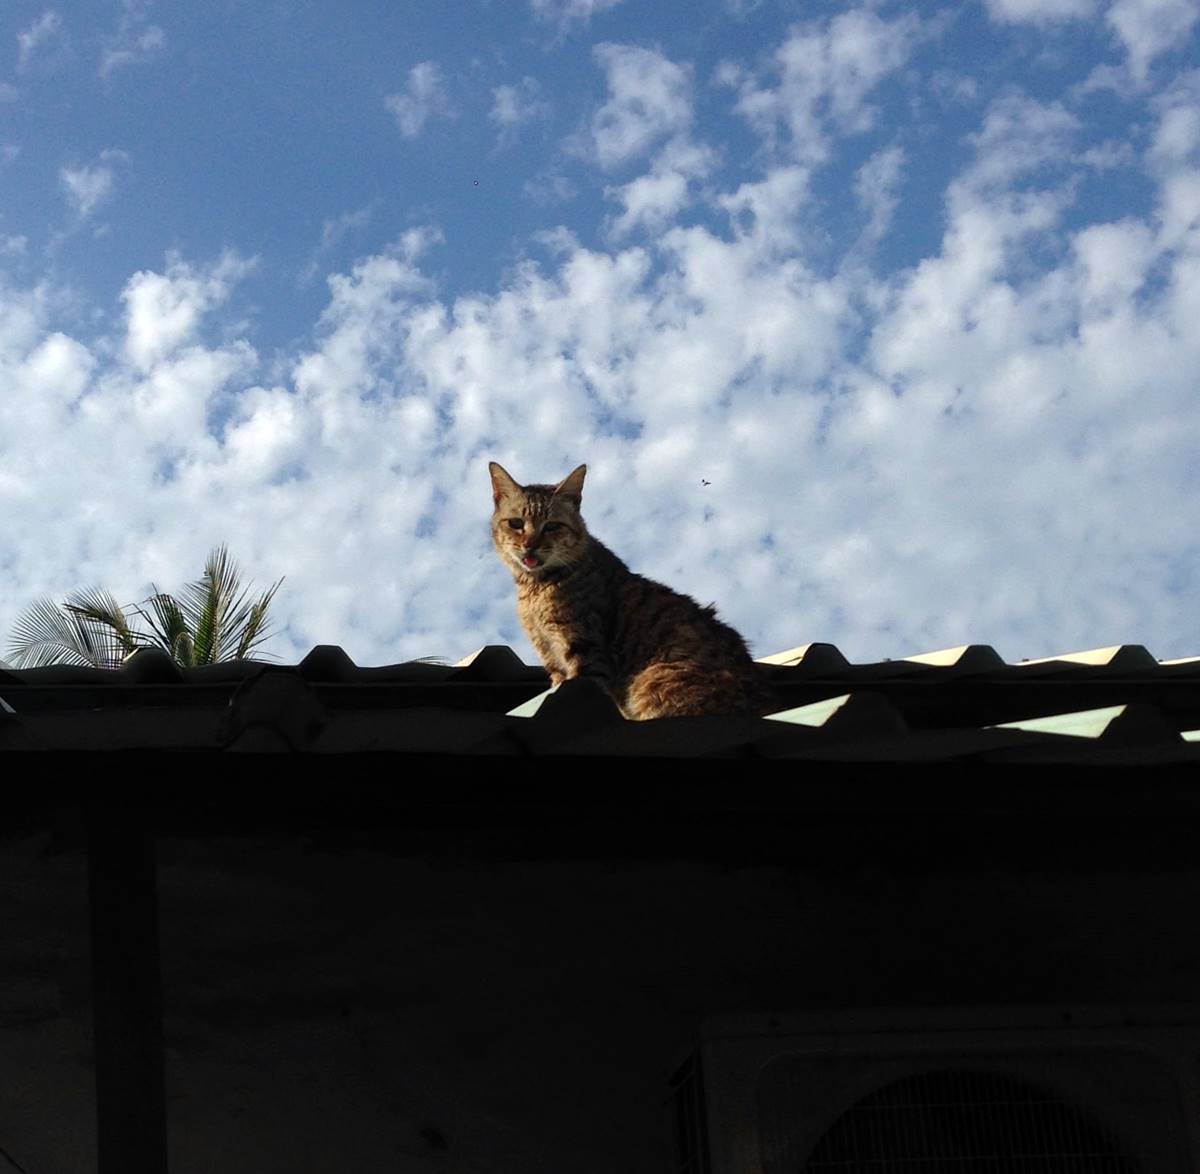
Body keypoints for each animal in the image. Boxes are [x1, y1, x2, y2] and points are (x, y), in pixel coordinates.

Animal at [489, 460, 777, 720]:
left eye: (552, 526)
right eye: (516, 523)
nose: (530, 545)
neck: (535, 588)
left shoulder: (584, 651)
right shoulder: (551, 658)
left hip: (653, 681)